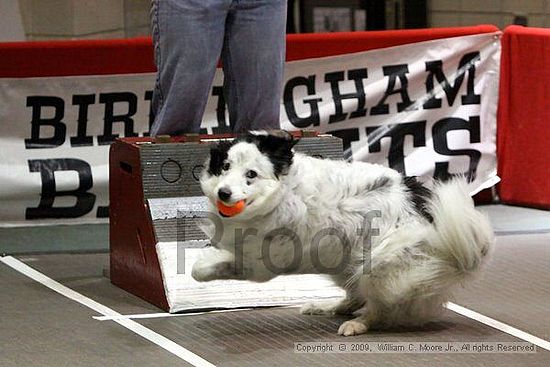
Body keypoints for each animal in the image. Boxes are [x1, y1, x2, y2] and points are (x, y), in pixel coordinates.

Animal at [192, 131, 494, 338]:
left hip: (379, 265)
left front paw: (203, 271)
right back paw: (329, 308)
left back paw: (358, 324)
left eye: (251, 174)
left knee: (380, 309)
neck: (283, 192)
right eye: (225, 167)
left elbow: (211, 269)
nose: (223, 193)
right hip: (343, 261)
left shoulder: (260, 267)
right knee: (356, 295)